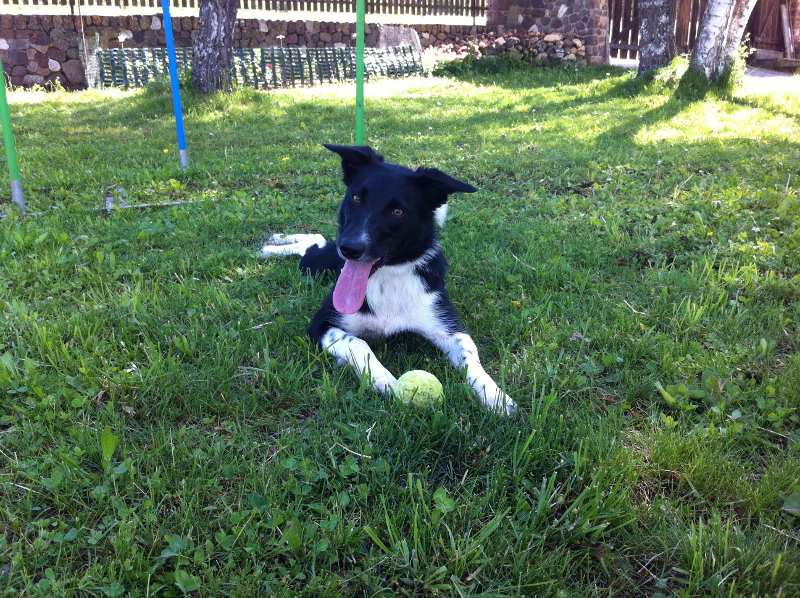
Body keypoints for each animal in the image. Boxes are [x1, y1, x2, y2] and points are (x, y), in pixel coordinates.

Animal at [260, 144, 515, 414]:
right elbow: (358, 343)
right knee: (314, 243)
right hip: (318, 265)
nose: (349, 248)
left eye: (397, 211)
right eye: (356, 198)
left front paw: (495, 395)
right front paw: (385, 380)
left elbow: (470, 355)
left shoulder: (447, 325)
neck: (388, 276)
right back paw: (273, 245)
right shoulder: (321, 324)